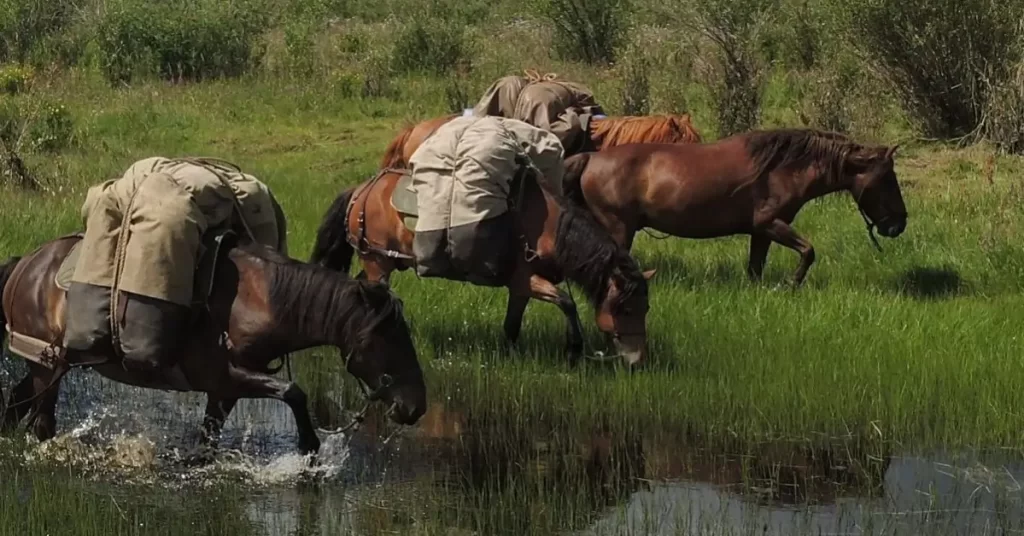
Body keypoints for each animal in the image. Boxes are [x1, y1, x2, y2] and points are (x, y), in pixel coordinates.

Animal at [0, 233, 427, 455]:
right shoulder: (230, 376)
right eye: (385, 337)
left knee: (17, 405)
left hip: (43, 365)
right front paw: (308, 445)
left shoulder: (224, 392)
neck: (259, 300)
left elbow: (207, 442)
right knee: (42, 423)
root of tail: (26, 265)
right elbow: (293, 390)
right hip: (49, 367)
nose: (415, 407)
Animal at [309, 169, 656, 366]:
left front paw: (511, 356)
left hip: (382, 263)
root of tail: (362, 190)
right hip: (377, 262)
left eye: (646, 309)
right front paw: (573, 349)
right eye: (626, 309)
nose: (637, 360)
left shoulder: (520, 288)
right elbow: (567, 303)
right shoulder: (527, 281)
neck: (545, 228)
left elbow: (512, 325)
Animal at [561, 128, 909, 286]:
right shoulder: (771, 224)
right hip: (618, 227)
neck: (782, 168)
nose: (899, 223)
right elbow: (808, 251)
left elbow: (755, 269)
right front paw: (792, 283)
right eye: (886, 179)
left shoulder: (761, 233)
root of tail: (590, 158)